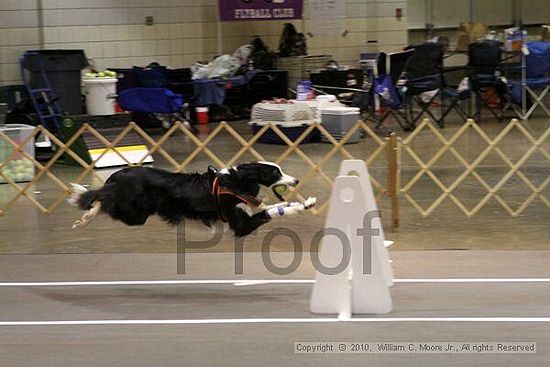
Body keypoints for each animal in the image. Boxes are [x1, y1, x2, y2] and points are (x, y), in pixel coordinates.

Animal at [68, 162, 316, 237]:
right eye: (275, 173)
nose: (296, 180)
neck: (239, 183)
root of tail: (117, 175)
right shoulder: (240, 225)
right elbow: (269, 212)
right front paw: (297, 207)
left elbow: (278, 205)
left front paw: (304, 204)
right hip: (136, 213)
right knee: (102, 201)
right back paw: (84, 217)